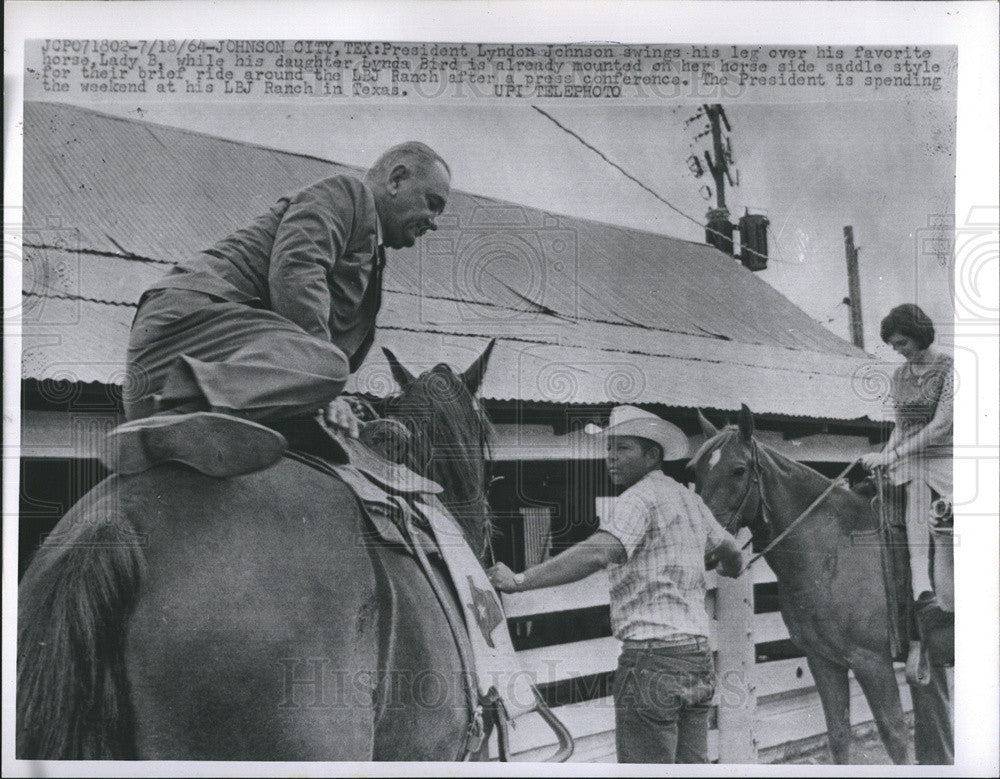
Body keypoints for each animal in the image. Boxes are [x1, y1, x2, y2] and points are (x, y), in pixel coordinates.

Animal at [688, 408, 952, 768]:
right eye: (696, 471)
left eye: (739, 469)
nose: (708, 547)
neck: (833, 548)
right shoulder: (823, 660)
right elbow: (838, 737)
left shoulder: (872, 662)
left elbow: (896, 740)